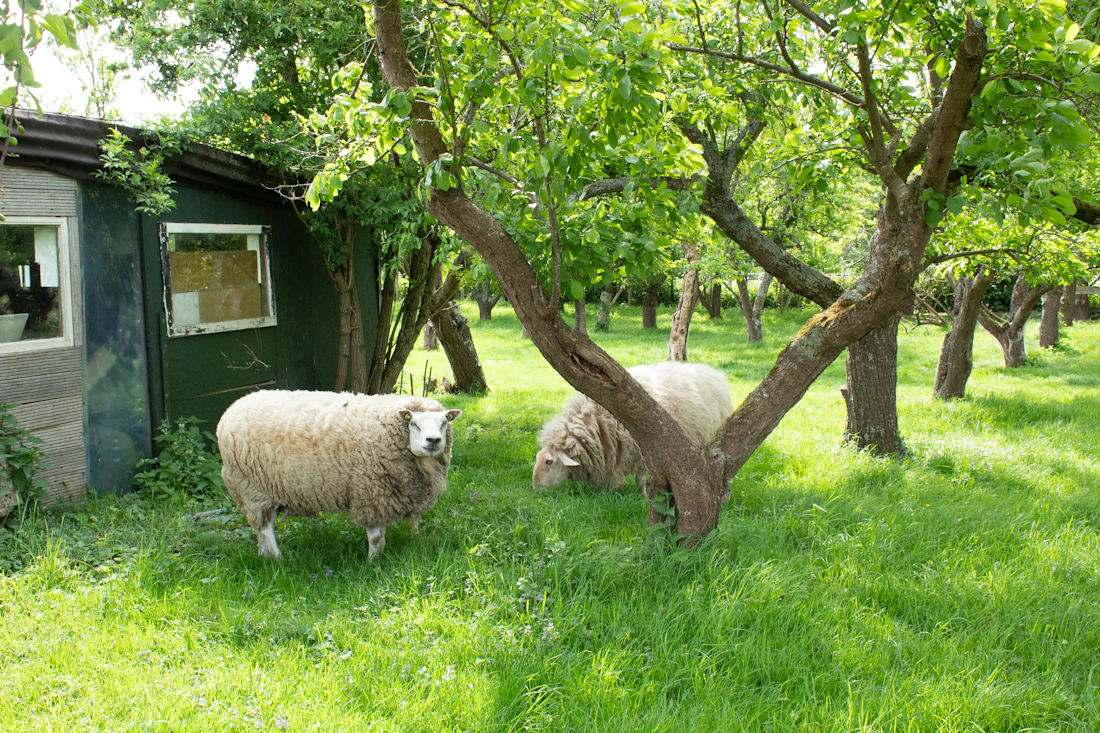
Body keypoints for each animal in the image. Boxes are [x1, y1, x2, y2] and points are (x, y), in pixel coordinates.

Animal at [216, 390, 461, 560]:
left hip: (259, 491)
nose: (433, 440)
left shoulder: (383, 498)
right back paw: (279, 558)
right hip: (252, 487)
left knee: (259, 526)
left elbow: (381, 534)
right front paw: (373, 563)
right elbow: (375, 536)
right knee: (266, 528)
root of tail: (237, 404)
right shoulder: (370, 494)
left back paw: (264, 555)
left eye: (444, 422)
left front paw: (380, 557)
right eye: (413, 424)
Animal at [532, 361, 732, 492]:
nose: (535, 489)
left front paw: (643, 494)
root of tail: (713, 371)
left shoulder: (642, 451)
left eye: (549, 462)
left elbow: (640, 478)